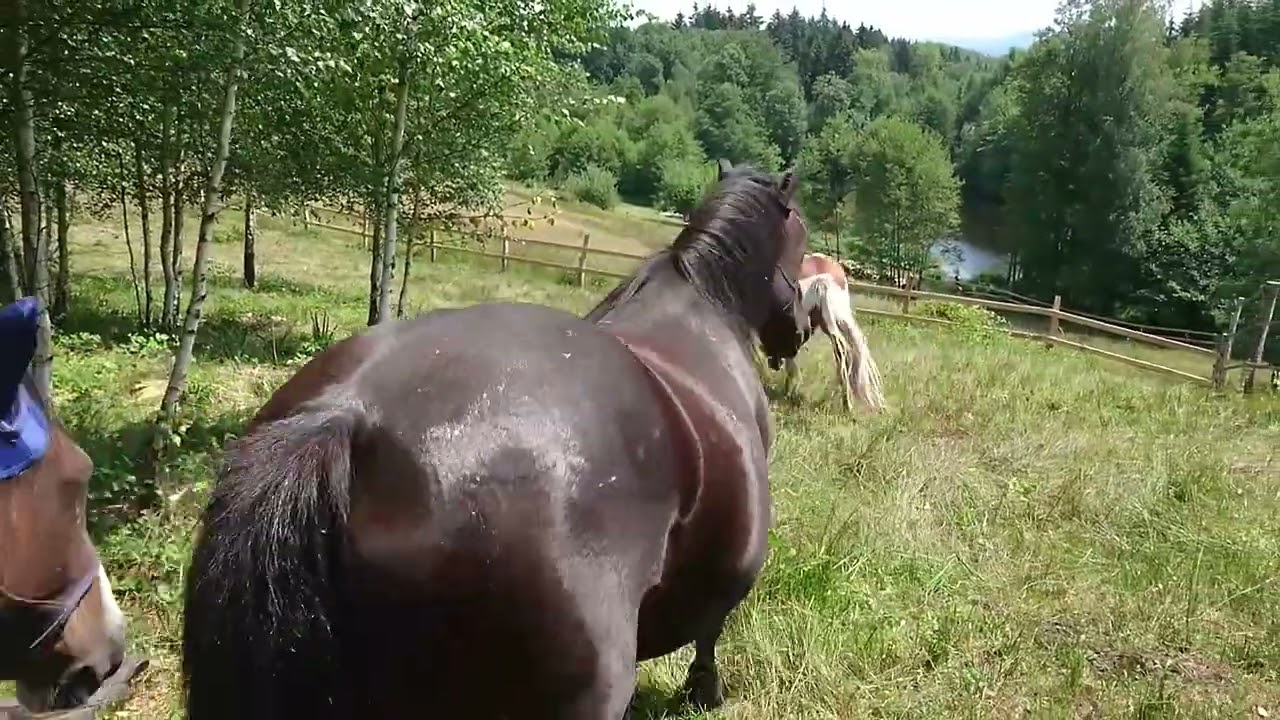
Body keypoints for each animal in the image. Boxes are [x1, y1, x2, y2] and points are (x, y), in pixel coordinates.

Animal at [180, 161, 808, 717]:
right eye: (802, 244)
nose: (800, 331)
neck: (702, 308)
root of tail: (343, 415)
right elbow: (711, 632)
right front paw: (705, 691)